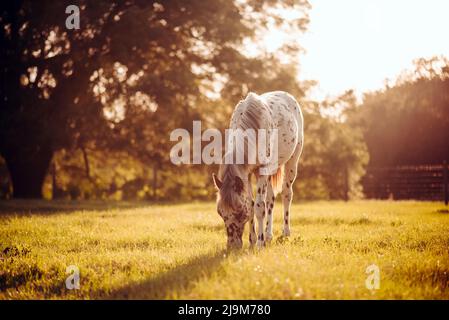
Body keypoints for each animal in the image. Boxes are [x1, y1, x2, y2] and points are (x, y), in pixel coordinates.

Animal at [212, 91, 302, 249]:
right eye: (220, 213)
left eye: (239, 213)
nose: (232, 245)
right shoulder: (246, 175)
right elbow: (252, 204)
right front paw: (253, 240)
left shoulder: (262, 171)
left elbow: (260, 207)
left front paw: (260, 243)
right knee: (270, 199)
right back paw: (268, 235)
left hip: (292, 161)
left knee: (286, 194)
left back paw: (285, 233)